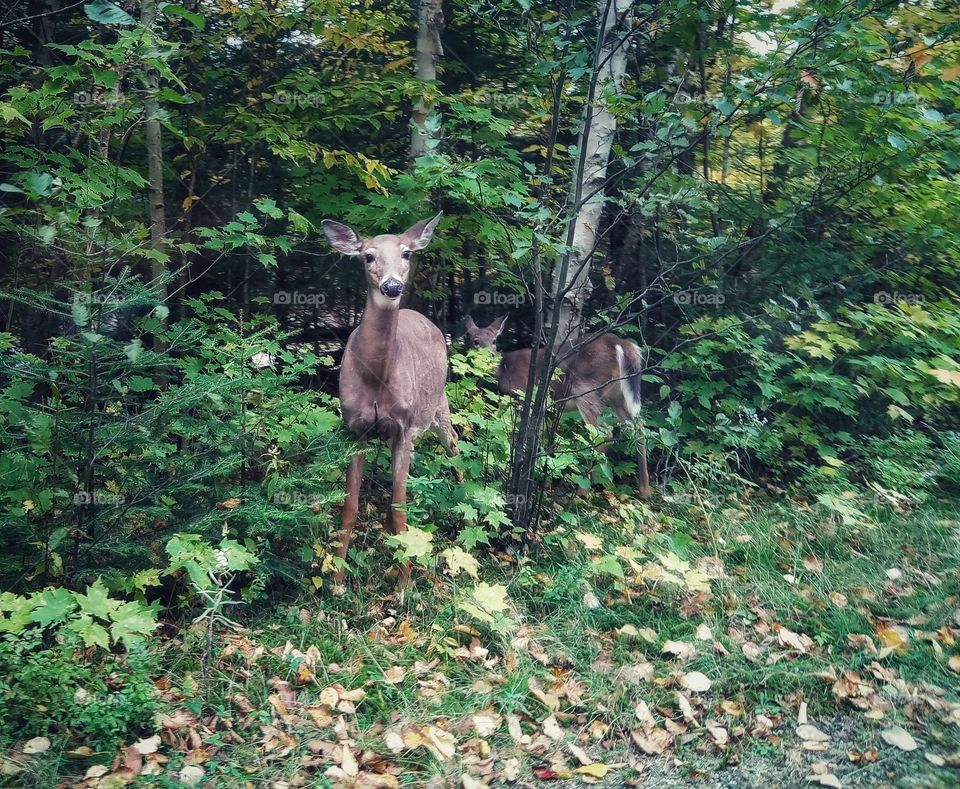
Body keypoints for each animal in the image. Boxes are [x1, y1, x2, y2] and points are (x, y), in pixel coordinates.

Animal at [322, 213, 459, 589]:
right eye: (367, 256)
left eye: (407, 253)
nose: (393, 286)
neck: (376, 379)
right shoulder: (354, 429)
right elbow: (350, 507)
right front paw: (337, 580)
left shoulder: (405, 428)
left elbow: (401, 508)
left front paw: (403, 585)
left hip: (437, 405)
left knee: (455, 443)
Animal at [465, 315, 651, 499]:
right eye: (475, 341)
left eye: (494, 340)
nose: (489, 355)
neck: (504, 370)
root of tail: (621, 344)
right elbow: (542, 437)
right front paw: (543, 478)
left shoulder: (524, 396)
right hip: (617, 395)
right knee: (638, 429)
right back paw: (644, 491)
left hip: (585, 388)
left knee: (604, 434)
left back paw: (582, 491)